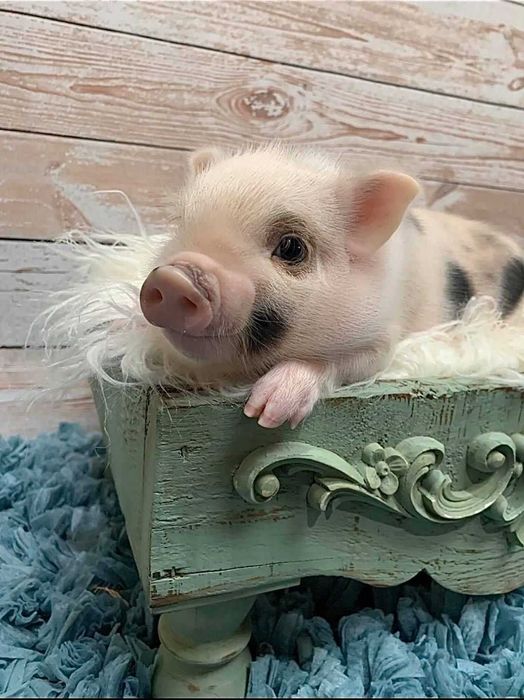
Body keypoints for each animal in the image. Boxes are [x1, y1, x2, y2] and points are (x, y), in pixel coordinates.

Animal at [139, 144, 524, 429]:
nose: (174, 279)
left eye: (291, 248)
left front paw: (265, 413)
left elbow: (340, 362)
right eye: (180, 225)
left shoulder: (382, 340)